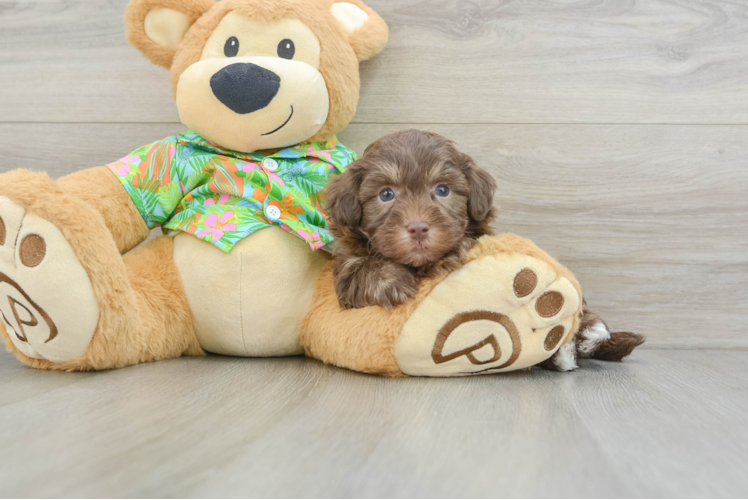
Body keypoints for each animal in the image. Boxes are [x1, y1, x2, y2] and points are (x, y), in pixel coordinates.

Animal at [328, 129, 496, 308]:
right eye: (386, 194)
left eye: (442, 190)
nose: (418, 229)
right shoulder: (346, 261)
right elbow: (358, 268)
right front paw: (392, 281)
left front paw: (449, 255)